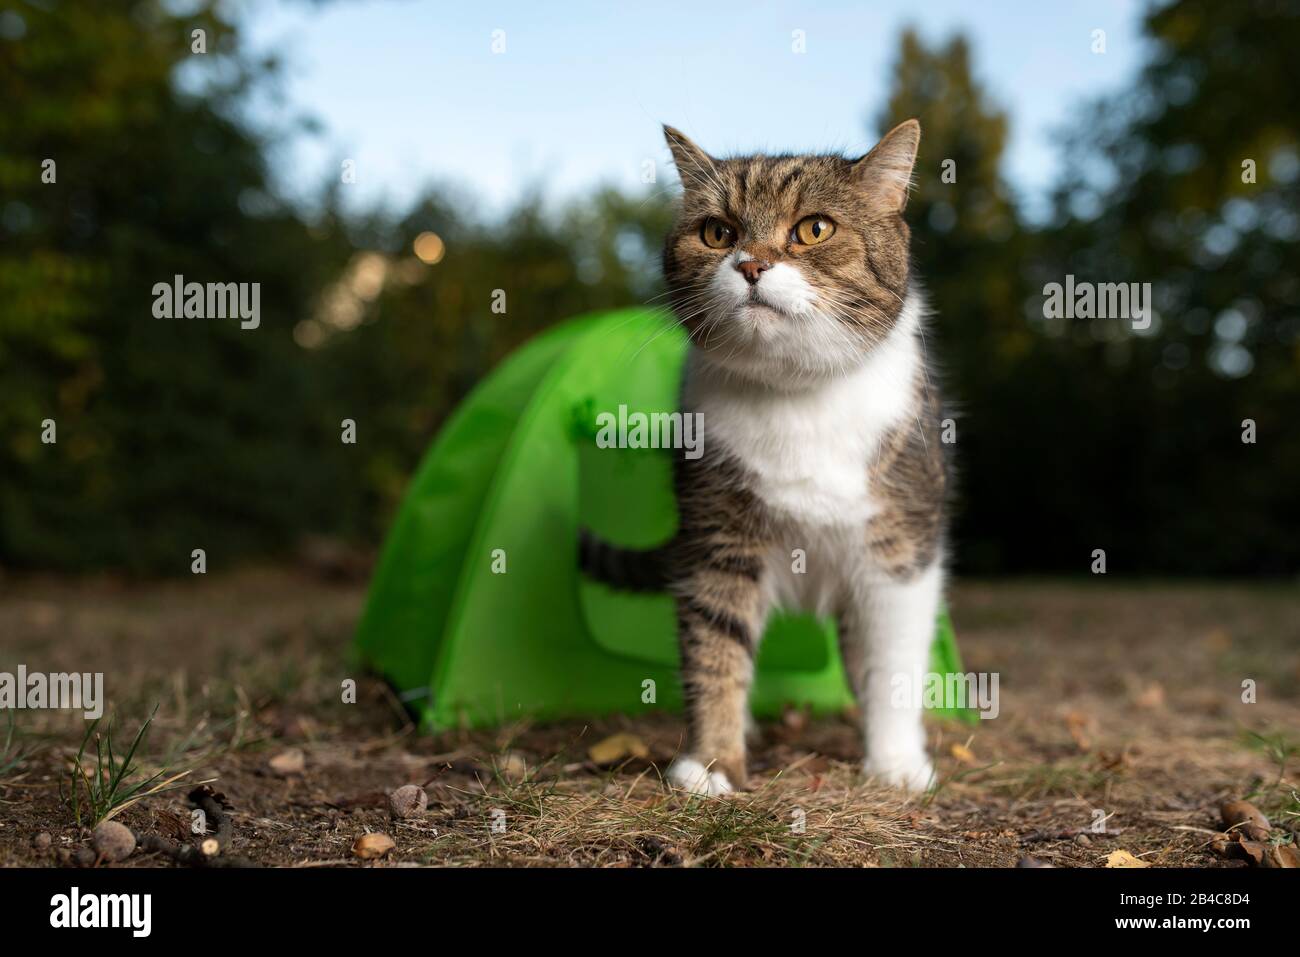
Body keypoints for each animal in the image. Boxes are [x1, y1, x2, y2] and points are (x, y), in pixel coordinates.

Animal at [579, 117, 946, 790]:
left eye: (815, 229)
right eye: (717, 232)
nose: (750, 264)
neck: (794, 394)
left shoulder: (900, 549)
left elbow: (893, 663)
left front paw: (897, 765)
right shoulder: (717, 542)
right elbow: (715, 651)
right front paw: (713, 764)